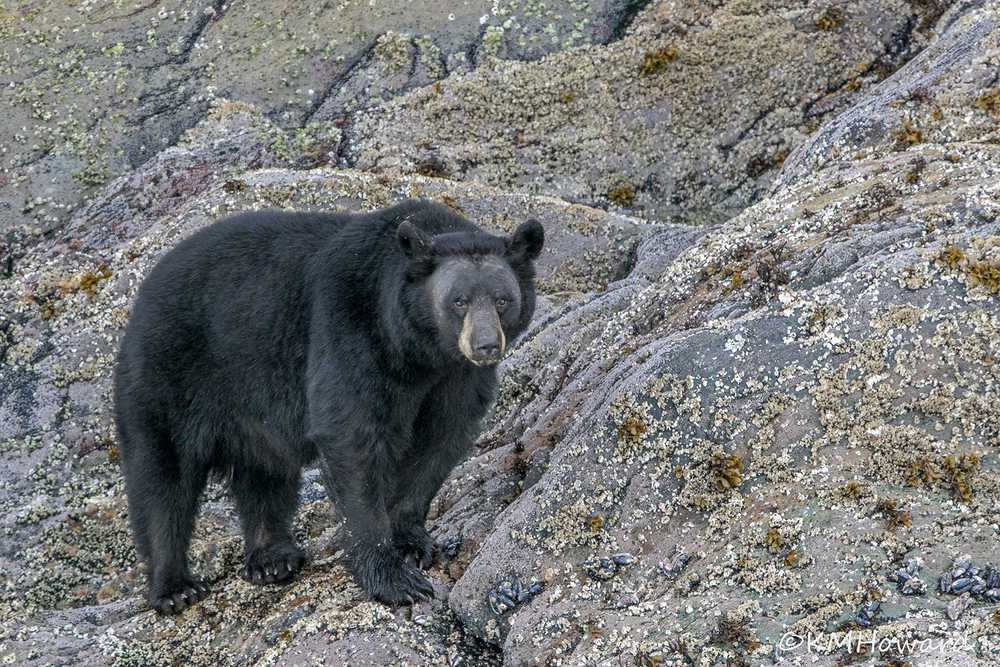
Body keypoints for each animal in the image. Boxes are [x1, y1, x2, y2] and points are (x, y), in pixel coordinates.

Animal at [113, 199, 544, 613]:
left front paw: (411, 542)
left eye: (503, 300)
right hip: (168, 375)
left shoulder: (456, 377)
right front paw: (392, 578)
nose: (485, 345)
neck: (418, 352)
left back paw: (271, 556)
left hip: (250, 407)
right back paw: (174, 587)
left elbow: (440, 441)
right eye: (459, 301)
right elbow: (352, 438)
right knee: (163, 480)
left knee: (264, 473)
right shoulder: (351, 332)